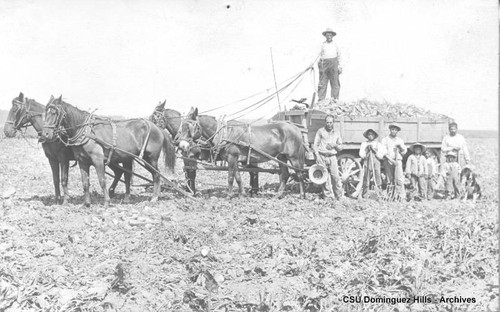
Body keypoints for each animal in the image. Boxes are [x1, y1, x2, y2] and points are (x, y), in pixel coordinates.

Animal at [42, 95, 177, 207]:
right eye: (45, 113)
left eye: (55, 112)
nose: (45, 134)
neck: (86, 132)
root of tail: (158, 128)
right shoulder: (82, 161)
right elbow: (85, 183)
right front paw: (86, 204)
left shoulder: (97, 160)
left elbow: (102, 180)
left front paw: (106, 202)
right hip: (130, 158)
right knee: (127, 175)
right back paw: (128, 198)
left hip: (150, 158)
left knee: (156, 175)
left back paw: (154, 197)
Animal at [178, 106, 306, 196]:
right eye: (182, 126)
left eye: (189, 127)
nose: (182, 146)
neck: (226, 134)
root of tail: (296, 128)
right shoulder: (234, 158)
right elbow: (238, 176)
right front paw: (242, 194)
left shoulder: (232, 156)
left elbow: (230, 176)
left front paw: (229, 195)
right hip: (281, 157)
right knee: (285, 175)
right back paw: (278, 195)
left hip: (294, 157)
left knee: (299, 174)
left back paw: (301, 195)